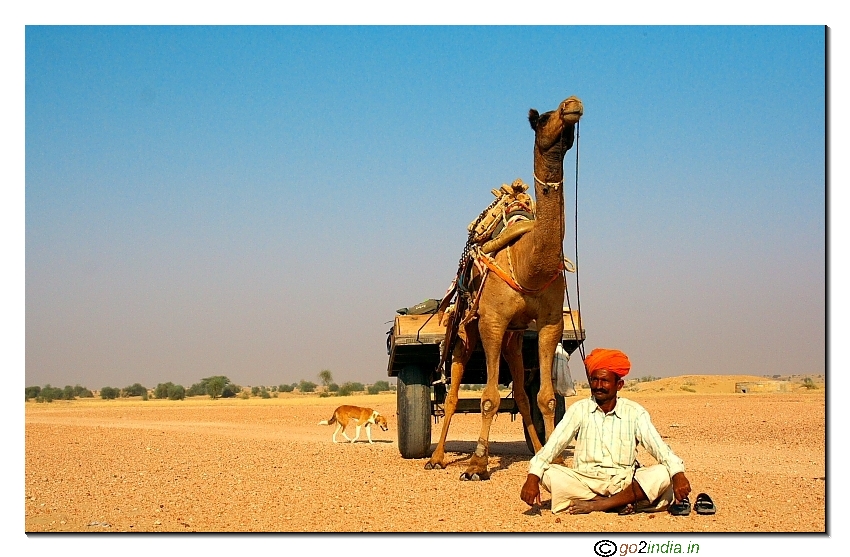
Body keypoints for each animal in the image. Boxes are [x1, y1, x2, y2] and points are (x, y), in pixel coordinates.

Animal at [426, 96, 584, 480]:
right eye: (543, 118)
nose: (572, 104)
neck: (530, 265)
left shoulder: (549, 323)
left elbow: (545, 398)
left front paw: (552, 458)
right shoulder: (492, 323)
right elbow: (488, 398)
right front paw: (477, 464)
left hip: (513, 339)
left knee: (523, 396)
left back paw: (537, 448)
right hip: (465, 336)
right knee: (451, 395)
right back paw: (437, 457)